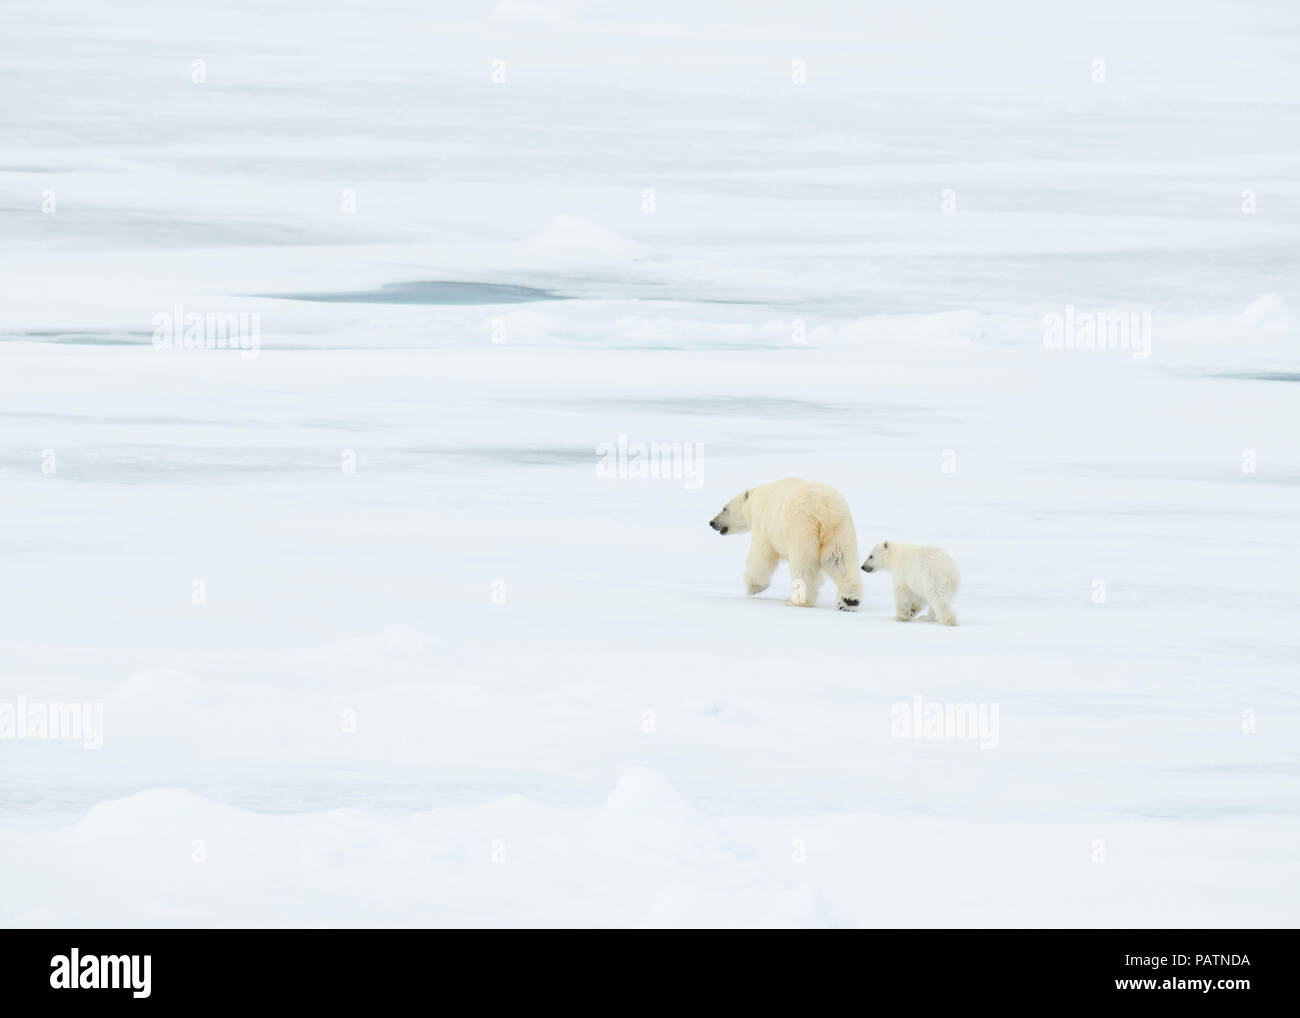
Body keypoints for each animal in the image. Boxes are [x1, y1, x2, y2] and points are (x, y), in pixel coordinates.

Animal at [712, 481, 863, 613]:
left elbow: (761, 556)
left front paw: (754, 587)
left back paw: (797, 601)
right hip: (839, 530)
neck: (756, 500)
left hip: (802, 530)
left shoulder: (764, 525)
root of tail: (824, 510)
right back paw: (848, 601)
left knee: (804, 567)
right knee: (840, 560)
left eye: (724, 508)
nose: (712, 522)